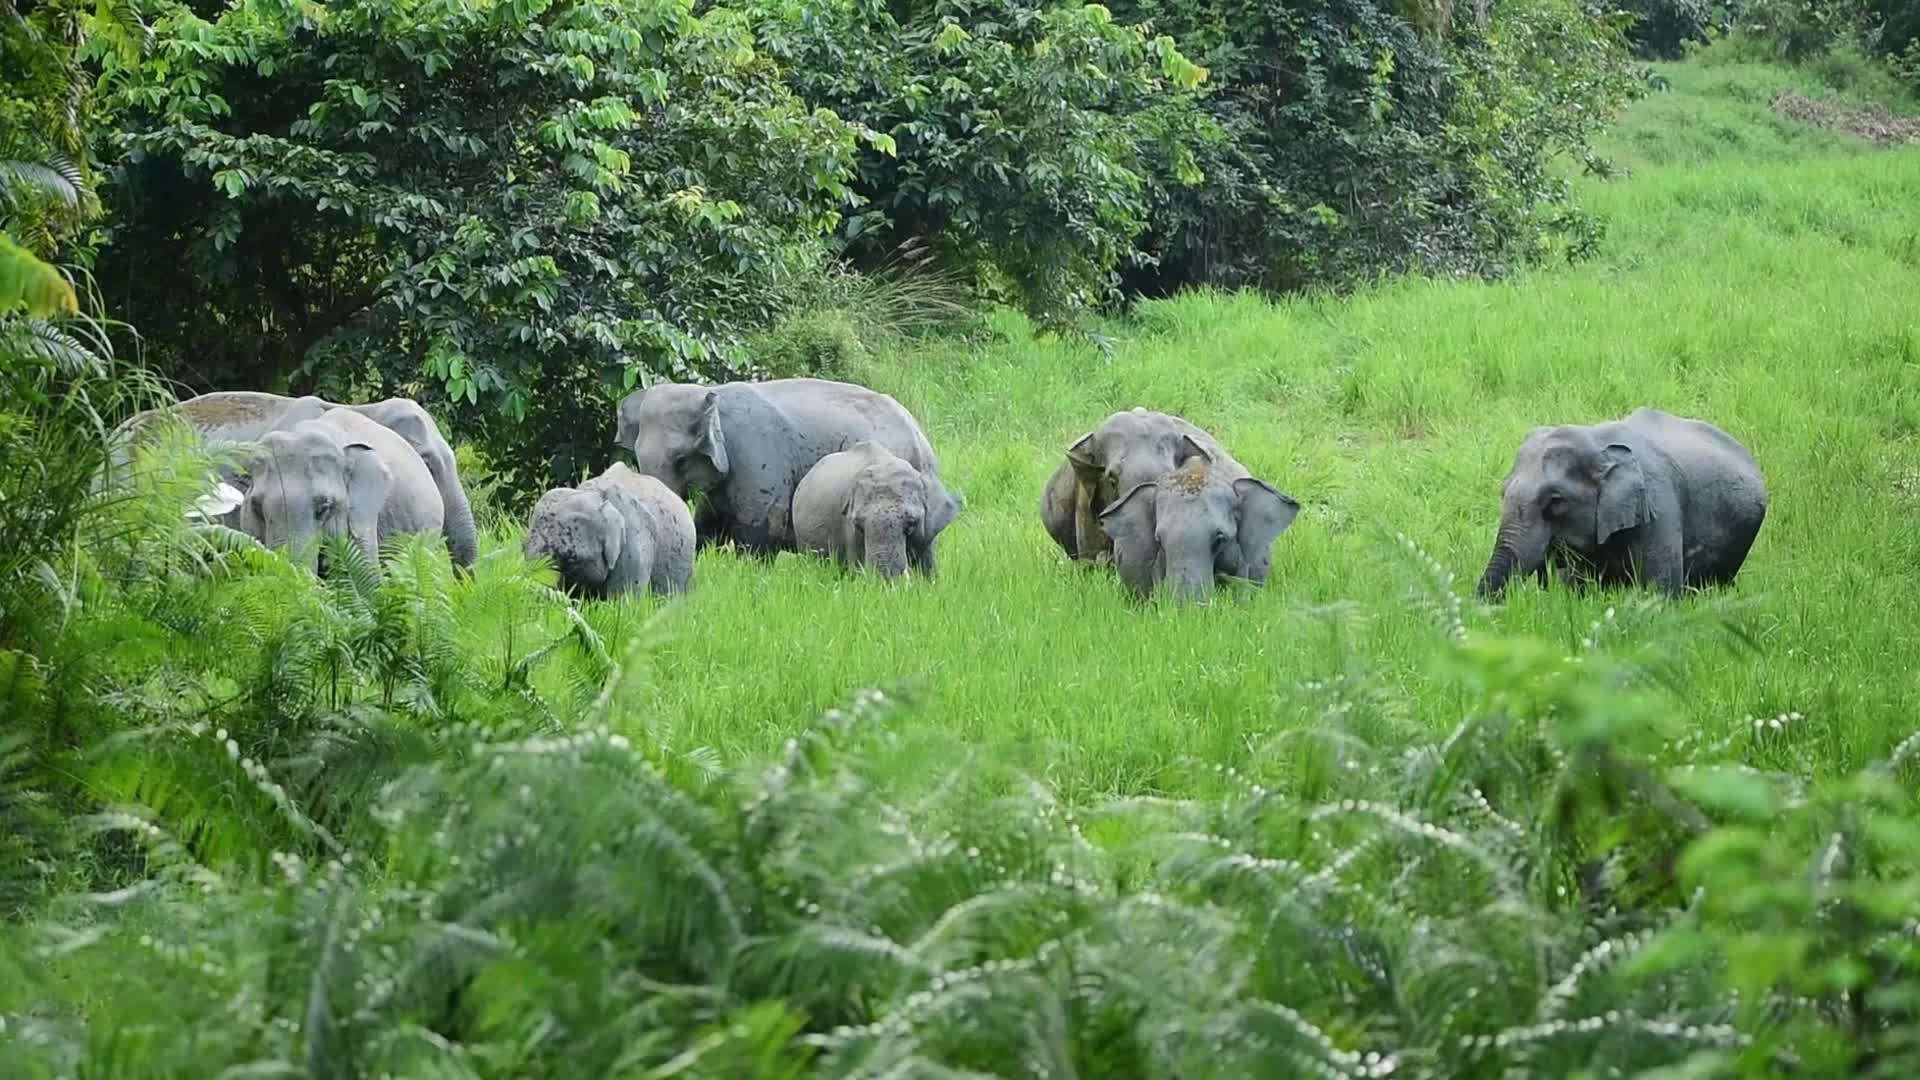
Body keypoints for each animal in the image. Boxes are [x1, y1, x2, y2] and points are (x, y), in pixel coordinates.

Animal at [613, 377, 943, 557]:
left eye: (681, 459)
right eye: (636, 458)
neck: (711, 392)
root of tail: (919, 432)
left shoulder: (756, 455)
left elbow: (760, 532)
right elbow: (707, 526)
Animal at [1476, 407, 1768, 599]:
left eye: (1555, 501)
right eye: (1502, 492)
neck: (1598, 444)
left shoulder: (1659, 503)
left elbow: (1660, 589)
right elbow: (1577, 585)